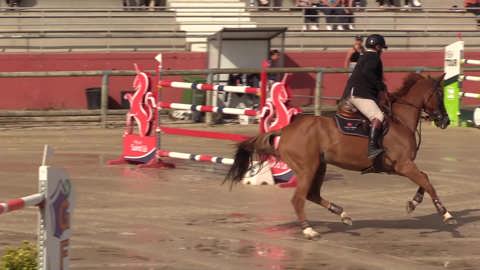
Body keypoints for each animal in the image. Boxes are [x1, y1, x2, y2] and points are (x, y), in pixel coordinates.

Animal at [225, 73, 454, 238]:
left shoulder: (399, 167)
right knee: (299, 199)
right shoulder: (403, 165)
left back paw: (343, 214)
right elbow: (427, 182)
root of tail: (286, 130)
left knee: (312, 195)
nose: (446, 121)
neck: (400, 121)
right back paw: (309, 230)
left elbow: (424, 180)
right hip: (307, 168)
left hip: (319, 166)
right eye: (440, 95)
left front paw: (414, 202)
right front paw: (446, 214)